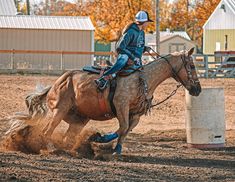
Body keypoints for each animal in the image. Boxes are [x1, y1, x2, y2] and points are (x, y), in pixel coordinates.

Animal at [25, 47, 202, 155]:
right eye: (192, 66)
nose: (198, 89)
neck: (144, 79)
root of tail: (57, 83)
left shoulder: (135, 114)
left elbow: (125, 131)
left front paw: (116, 149)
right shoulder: (121, 106)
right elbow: (122, 127)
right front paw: (99, 138)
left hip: (79, 119)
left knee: (68, 136)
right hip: (60, 110)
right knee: (47, 131)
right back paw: (51, 149)